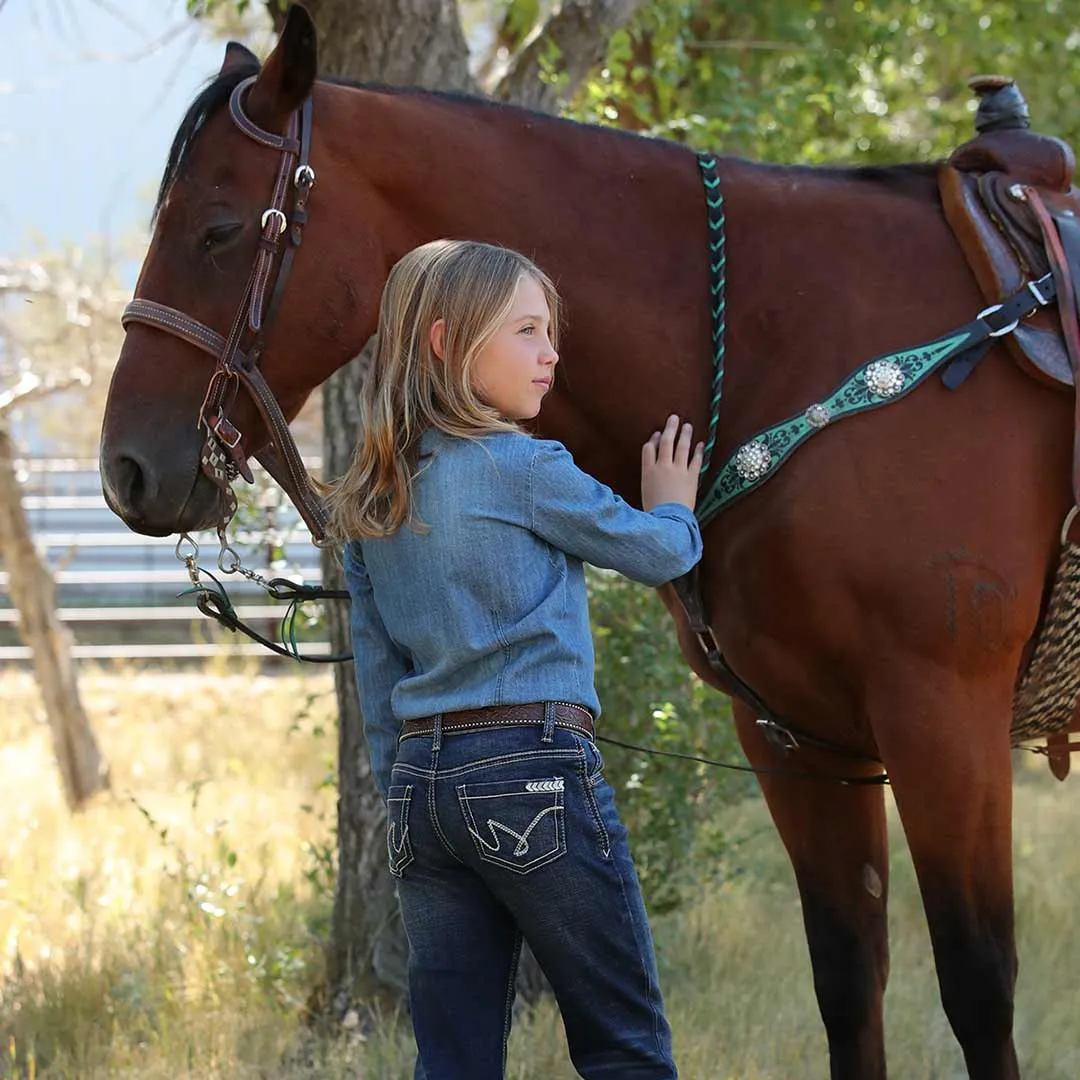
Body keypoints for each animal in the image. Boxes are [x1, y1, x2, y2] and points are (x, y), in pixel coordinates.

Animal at [99, 4, 1071, 1075]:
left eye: (221, 229)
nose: (126, 468)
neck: (797, 339)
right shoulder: (798, 736)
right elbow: (850, 980)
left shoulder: (944, 720)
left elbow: (978, 988)